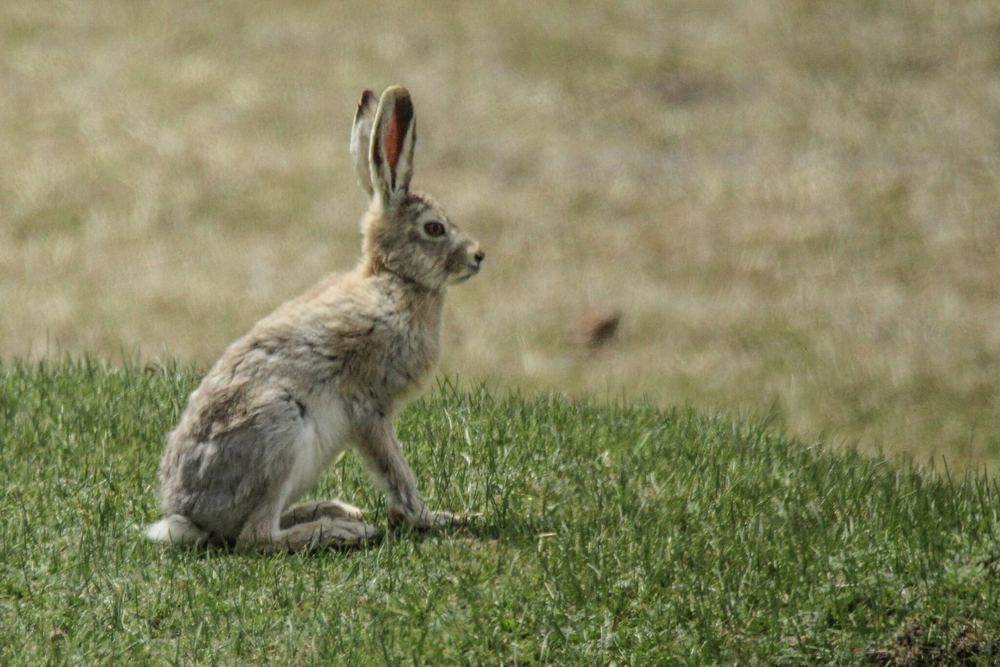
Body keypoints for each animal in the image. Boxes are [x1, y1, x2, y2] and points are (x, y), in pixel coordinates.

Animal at [145, 85, 485, 552]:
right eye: (434, 228)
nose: (479, 256)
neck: (393, 279)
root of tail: (187, 515)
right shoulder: (369, 406)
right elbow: (394, 471)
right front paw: (434, 518)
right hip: (280, 428)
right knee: (256, 536)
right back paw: (342, 530)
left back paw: (338, 510)